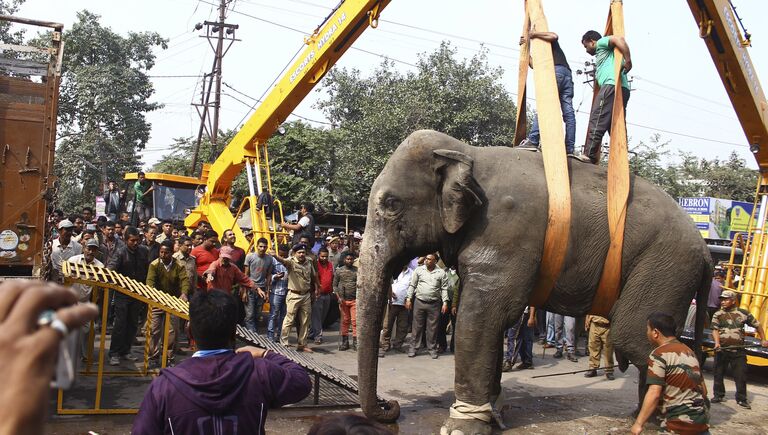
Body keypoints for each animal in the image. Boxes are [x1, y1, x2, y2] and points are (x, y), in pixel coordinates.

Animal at [356, 130, 712, 435]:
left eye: (390, 204)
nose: (391, 405)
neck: (468, 153)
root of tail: (707, 251)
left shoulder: (505, 231)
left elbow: (481, 316)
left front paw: (461, 426)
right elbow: (493, 322)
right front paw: (495, 412)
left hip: (665, 266)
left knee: (636, 337)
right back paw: (646, 419)